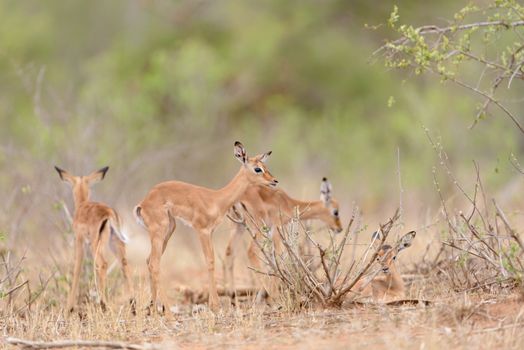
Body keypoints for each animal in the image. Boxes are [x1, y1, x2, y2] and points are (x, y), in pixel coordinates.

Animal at [54, 167, 133, 312]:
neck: (82, 205)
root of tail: (109, 213)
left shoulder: (79, 240)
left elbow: (77, 268)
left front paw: (69, 307)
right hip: (115, 243)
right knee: (124, 263)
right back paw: (132, 303)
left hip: (96, 245)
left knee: (103, 264)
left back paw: (103, 304)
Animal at [134, 141, 278, 310]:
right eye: (257, 168)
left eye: (265, 165)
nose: (274, 181)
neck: (216, 199)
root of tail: (143, 203)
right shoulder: (202, 231)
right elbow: (210, 261)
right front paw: (215, 305)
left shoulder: (211, 232)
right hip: (160, 232)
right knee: (155, 264)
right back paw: (167, 312)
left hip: (169, 230)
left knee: (149, 261)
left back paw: (154, 309)